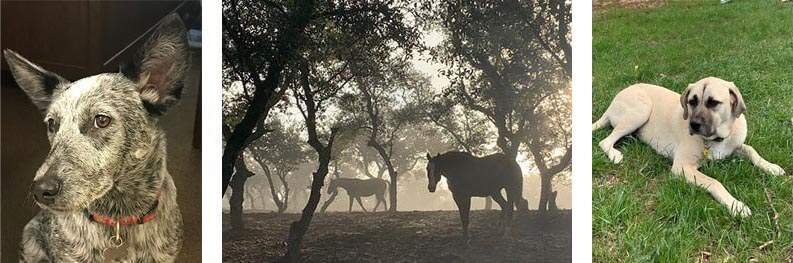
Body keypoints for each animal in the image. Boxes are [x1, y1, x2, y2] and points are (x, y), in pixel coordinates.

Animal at [592, 77, 784, 218]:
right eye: (692, 101)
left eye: (713, 102)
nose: (694, 125)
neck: (716, 139)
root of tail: (613, 101)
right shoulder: (682, 167)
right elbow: (715, 182)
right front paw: (736, 205)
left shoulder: (735, 145)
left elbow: (752, 150)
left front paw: (771, 167)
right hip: (641, 109)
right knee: (605, 141)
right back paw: (615, 154)